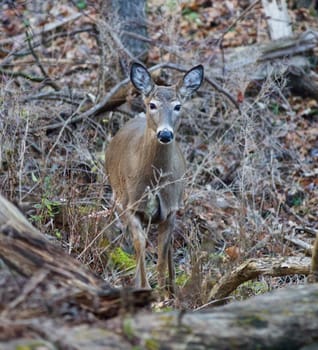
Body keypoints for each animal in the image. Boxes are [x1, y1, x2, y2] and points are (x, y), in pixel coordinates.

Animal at [105, 63, 202, 296]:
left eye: (178, 106)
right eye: (152, 104)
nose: (165, 134)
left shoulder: (170, 208)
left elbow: (162, 251)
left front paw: (163, 293)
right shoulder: (130, 204)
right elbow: (140, 243)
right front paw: (144, 286)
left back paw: (172, 286)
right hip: (115, 194)